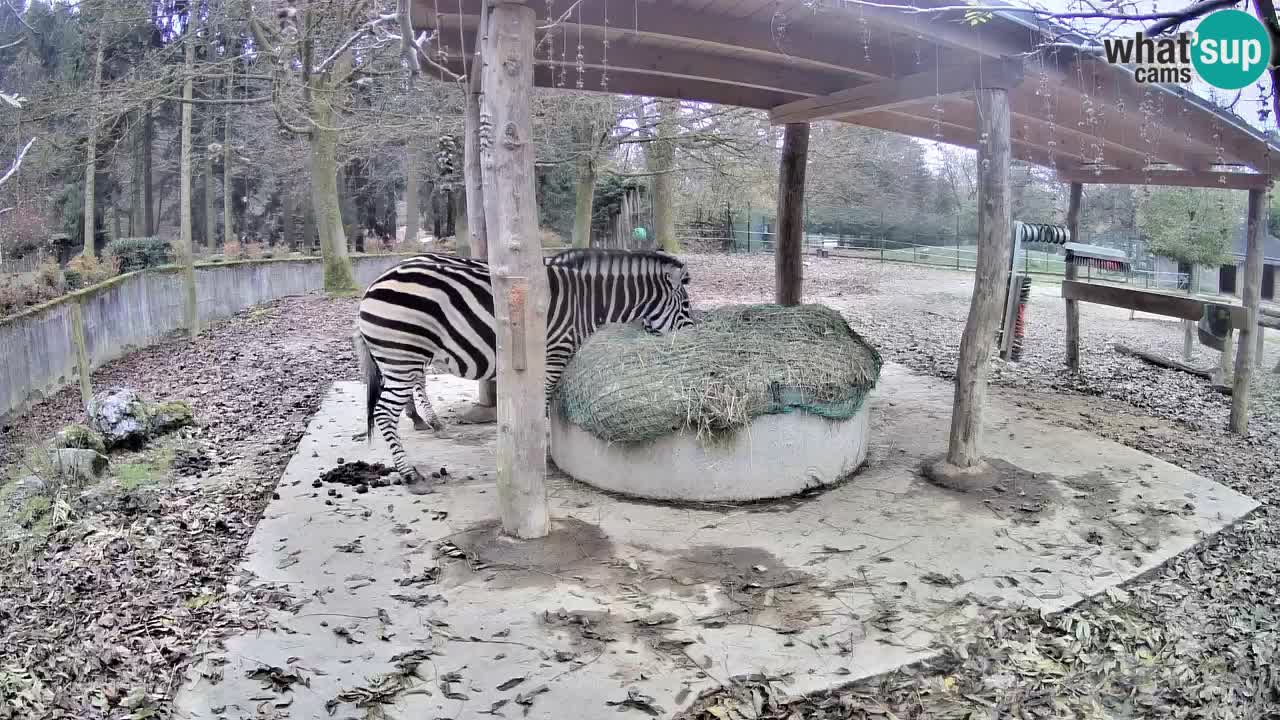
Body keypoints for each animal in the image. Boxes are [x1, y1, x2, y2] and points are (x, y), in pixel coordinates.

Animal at [353, 245, 701, 486]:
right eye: (685, 305)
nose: (692, 335)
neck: (589, 303)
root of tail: (373, 284)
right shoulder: (554, 354)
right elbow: (543, 403)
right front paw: (542, 449)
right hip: (403, 354)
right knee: (384, 412)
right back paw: (409, 472)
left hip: (405, 357)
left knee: (407, 391)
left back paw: (424, 423)